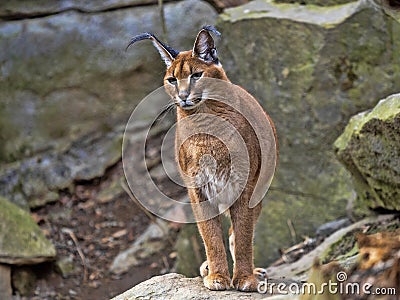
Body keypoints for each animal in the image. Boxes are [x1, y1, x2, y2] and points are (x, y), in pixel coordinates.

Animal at [128, 27, 278, 292]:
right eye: (172, 79)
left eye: (197, 75)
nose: (183, 96)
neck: (204, 119)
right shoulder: (197, 189)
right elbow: (210, 235)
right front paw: (217, 275)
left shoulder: (244, 187)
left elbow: (243, 235)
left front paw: (245, 277)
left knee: (238, 231)